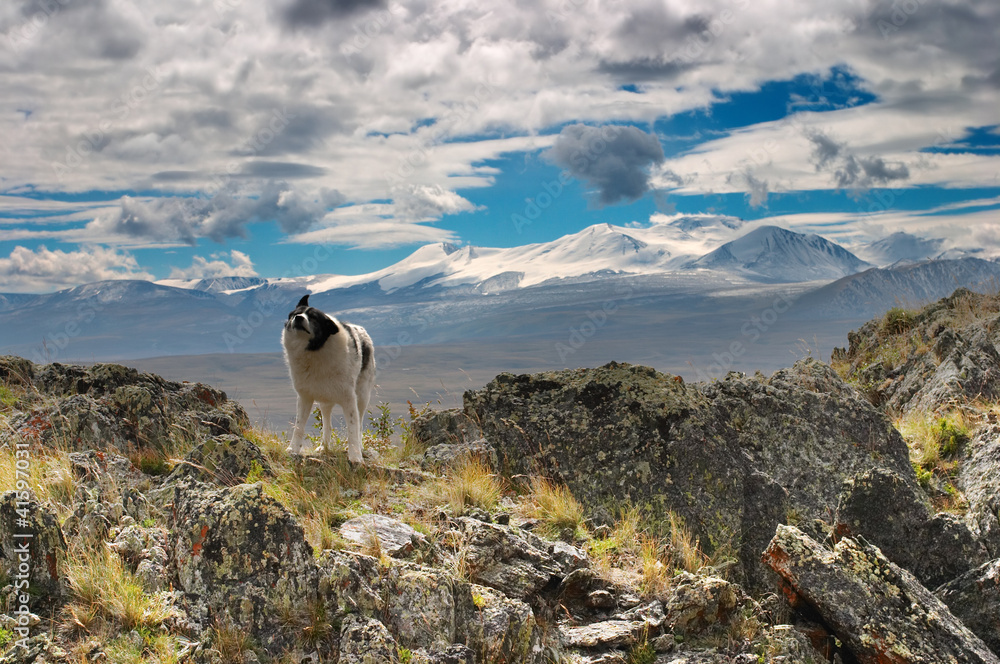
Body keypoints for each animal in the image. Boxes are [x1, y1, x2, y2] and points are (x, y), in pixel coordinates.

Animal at [282, 294, 376, 464]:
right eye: (295, 314)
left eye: (313, 317)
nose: (298, 318)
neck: (315, 350)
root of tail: (362, 330)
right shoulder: (305, 398)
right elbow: (299, 426)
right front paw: (293, 449)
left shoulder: (349, 399)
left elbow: (353, 428)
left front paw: (355, 457)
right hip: (325, 402)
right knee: (327, 424)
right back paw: (323, 447)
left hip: (362, 396)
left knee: (359, 424)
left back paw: (359, 448)